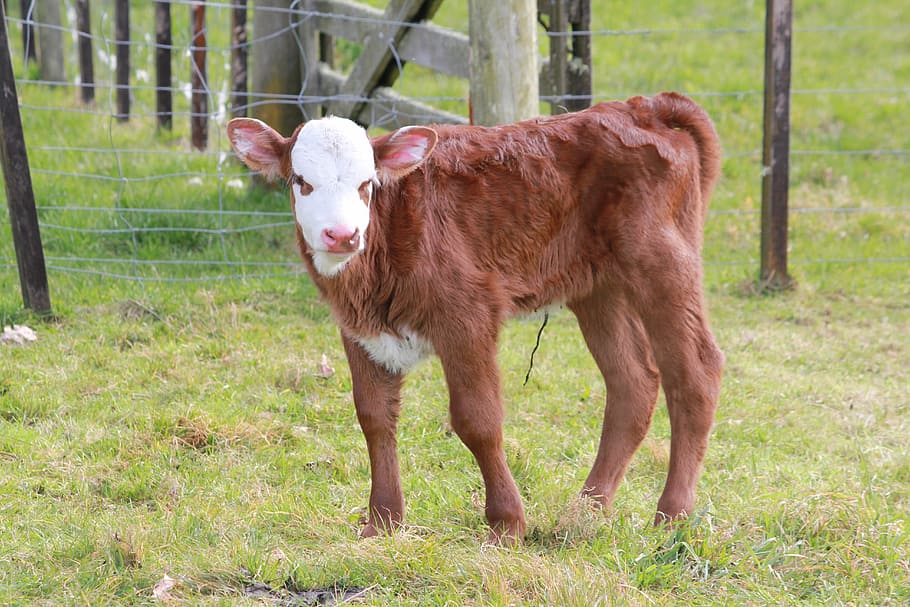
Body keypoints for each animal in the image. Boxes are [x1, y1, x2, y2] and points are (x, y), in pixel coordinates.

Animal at [226, 92, 724, 545]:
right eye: (300, 181)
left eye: (367, 183)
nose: (343, 234)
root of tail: (644, 107)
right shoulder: (359, 329)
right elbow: (373, 416)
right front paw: (382, 522)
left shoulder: (467, 315)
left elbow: (476, 420)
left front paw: (506, 524)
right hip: (598, 288)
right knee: (632, 382)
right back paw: (584, 513)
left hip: (661, 262)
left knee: (695, 372)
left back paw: (671, 516)